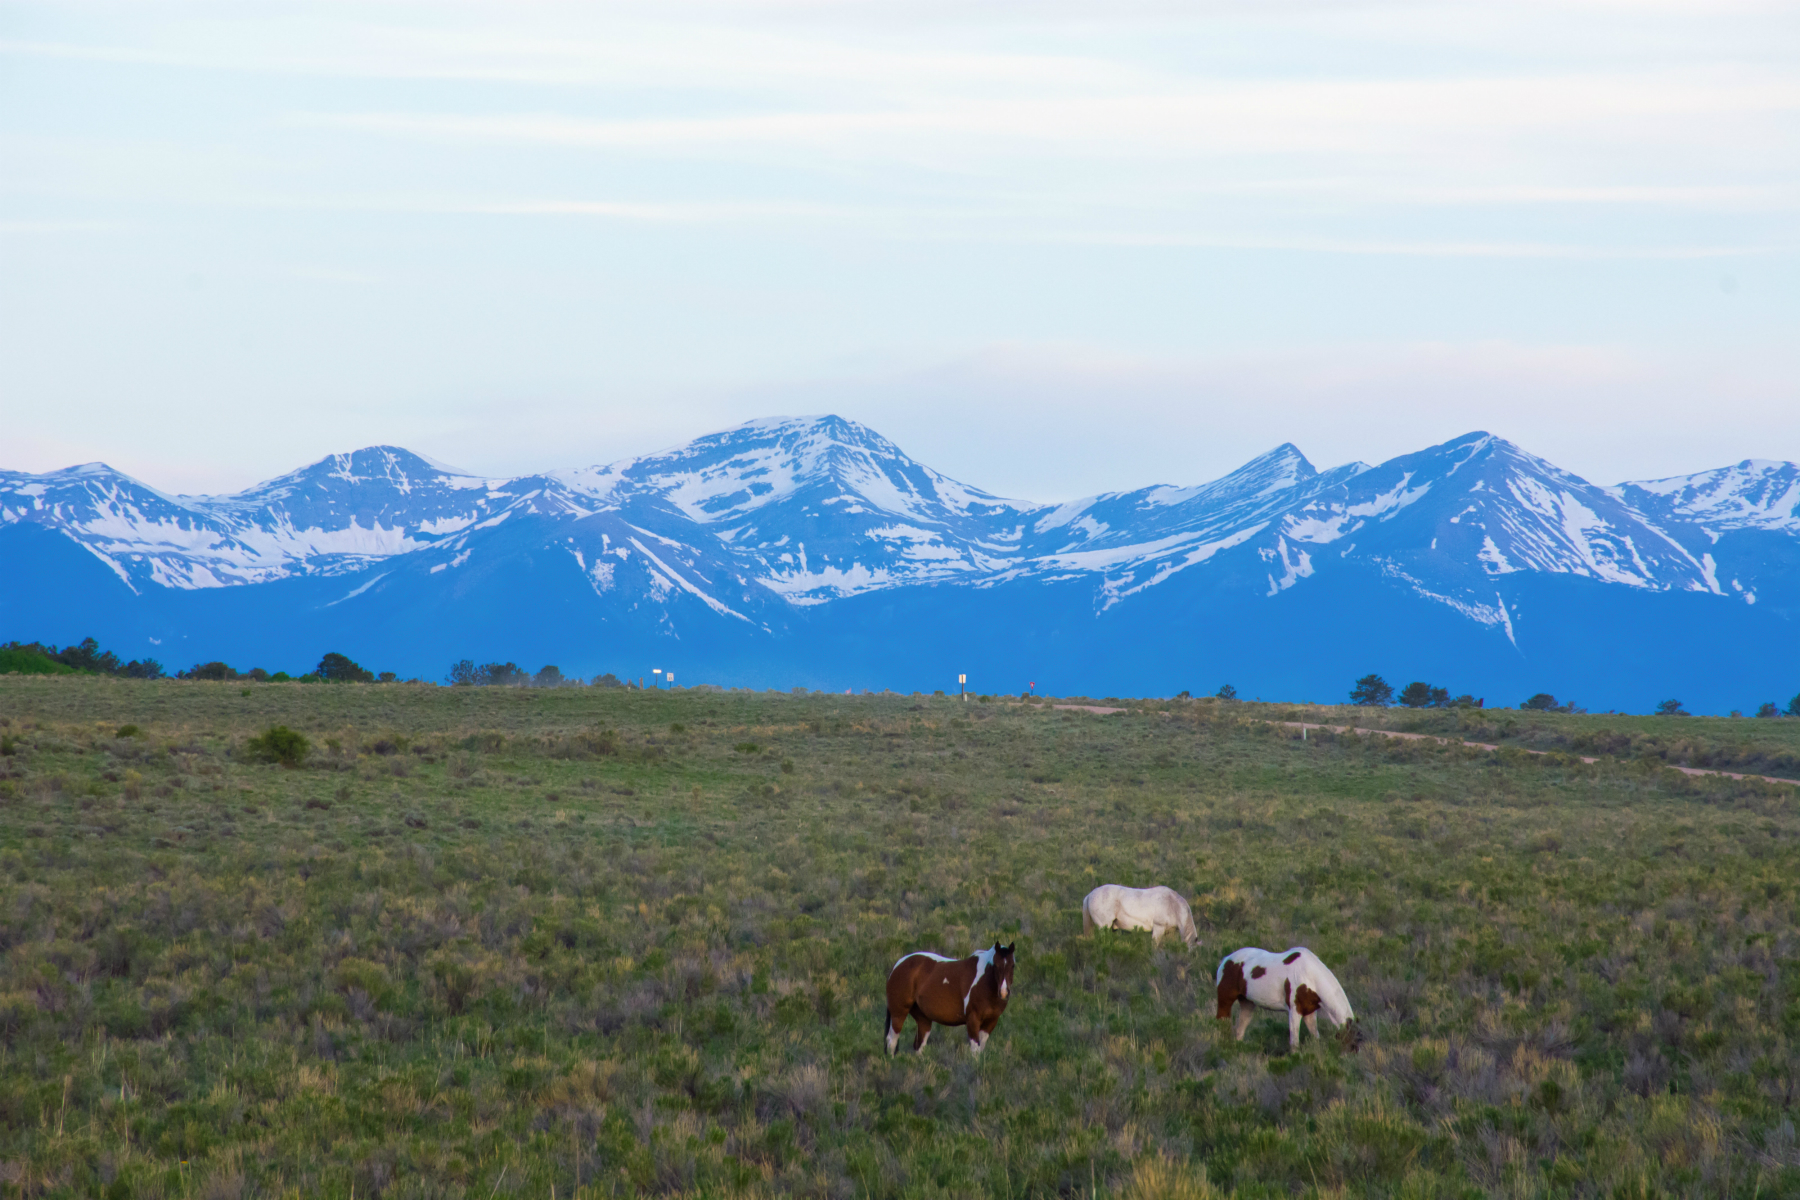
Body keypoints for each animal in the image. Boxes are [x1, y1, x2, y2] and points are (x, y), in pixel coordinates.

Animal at [884, 942, 1016, 1054]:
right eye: (996, 965)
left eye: (1013, 966)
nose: (1004, 992)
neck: (984, 982)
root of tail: (898, 965)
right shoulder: (973, 1020)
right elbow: (975, 1050)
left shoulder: (990, 1022)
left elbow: (980, 1049)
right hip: (899, 1013)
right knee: (891, 1041)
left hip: (923, 1019)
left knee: (919, 1045)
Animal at [1214, 946, 1358, 1050]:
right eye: (1349, 1041)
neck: (1309, 975)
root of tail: (1226, 960)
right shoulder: (1295, 1011)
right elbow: (1294, 1043)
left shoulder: (1309, 1012)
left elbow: (1315, 1036)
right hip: (1225, 1001)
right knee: (1222, 1023)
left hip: (1247, 1003)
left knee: (1240, 1030)